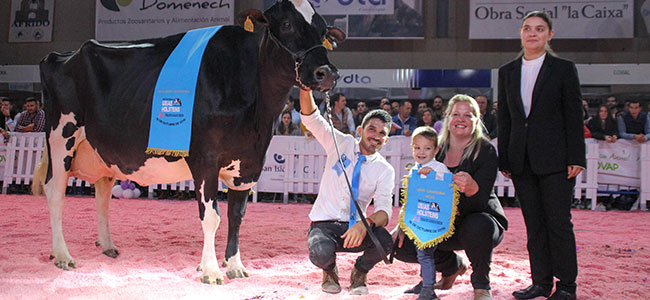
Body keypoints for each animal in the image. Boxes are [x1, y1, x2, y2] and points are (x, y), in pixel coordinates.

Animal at [34, 0, 344, 284]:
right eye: (287, 24)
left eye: (323, 32)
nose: (327, 73)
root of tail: (60, 55)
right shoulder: (205, 159)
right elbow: (212, 216)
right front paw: (211, 271)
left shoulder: (247, 164)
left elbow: (236, 216)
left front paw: (235, 265)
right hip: (61, 137)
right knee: (55, 191)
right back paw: (62, 255)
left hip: (102, 151)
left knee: (101, 193)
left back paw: (108, 246)